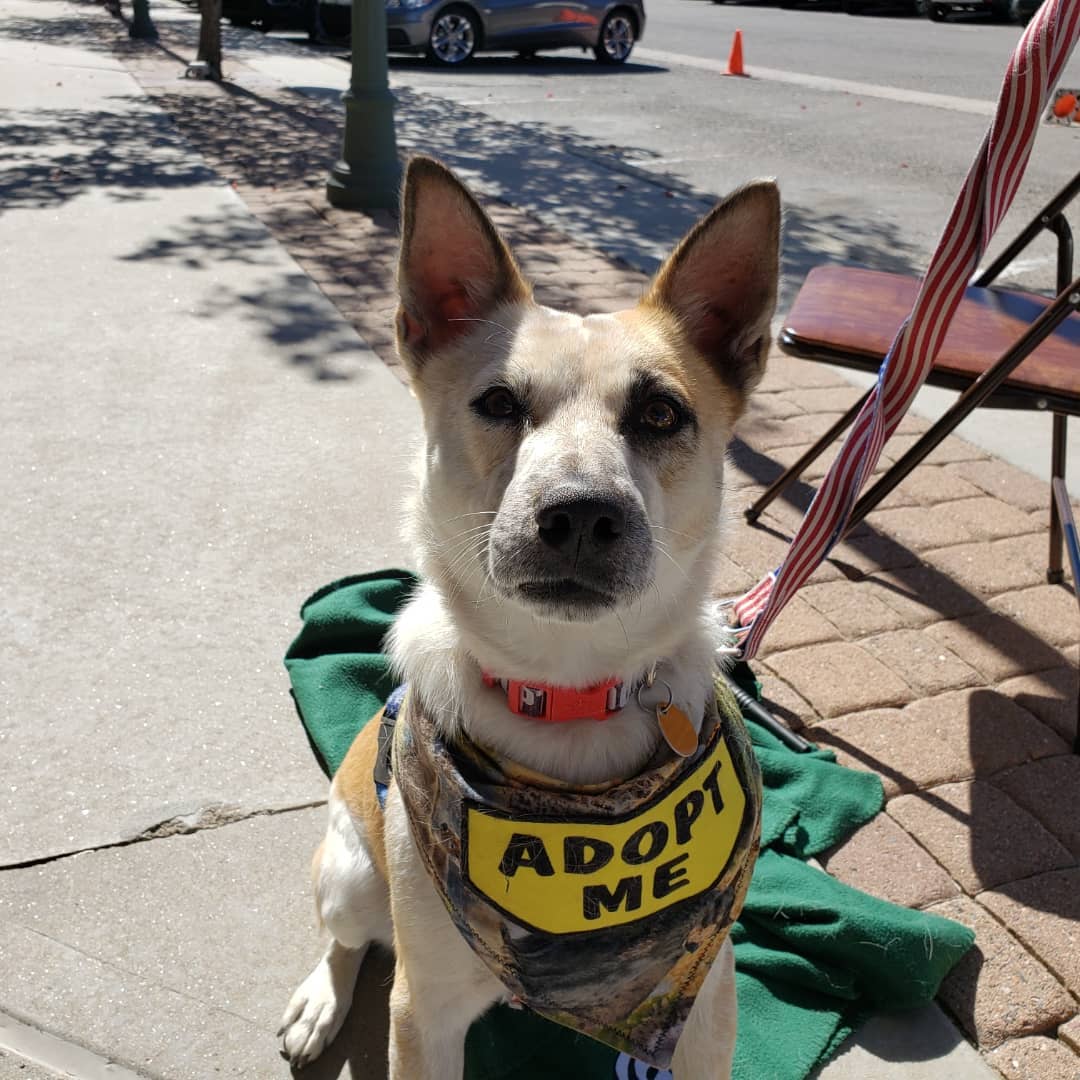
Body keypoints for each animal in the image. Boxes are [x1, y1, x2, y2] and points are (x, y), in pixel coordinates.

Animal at [282, 156, 781, 1075]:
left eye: (661, 412)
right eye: (498, 403)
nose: (581, 514)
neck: (566, 693)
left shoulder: (706, 1004)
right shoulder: (424, 1011)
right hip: (351, 876)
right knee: (347, 938)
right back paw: (320, 1000)